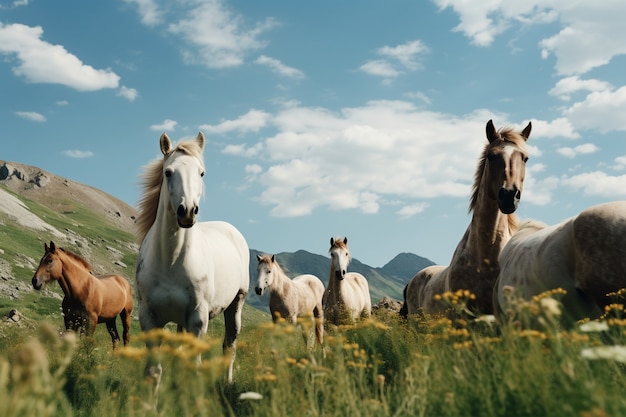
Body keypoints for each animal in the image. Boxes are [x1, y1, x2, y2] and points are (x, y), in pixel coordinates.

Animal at [135, 132, 249, 384]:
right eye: (168, 172)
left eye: (201, 173)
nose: (187, 211)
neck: (170, 262)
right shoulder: (149, 318)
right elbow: (153, 371)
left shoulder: (197, 319)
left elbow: (194, 368)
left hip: (236, 304)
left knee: (229, 346)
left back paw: (227, 383)